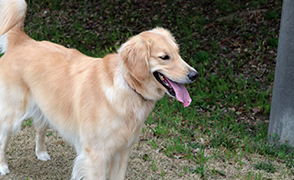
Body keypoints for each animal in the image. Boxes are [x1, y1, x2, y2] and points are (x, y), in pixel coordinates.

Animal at [0, 0, 199, 178]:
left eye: (178, 53)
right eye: (164, 57)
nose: (194, 74)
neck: (127, 88)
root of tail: (22, 40)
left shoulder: (122, 153)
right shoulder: (96, 155)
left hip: (46, 106)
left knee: (40, 127)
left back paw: (41, 153)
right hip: (13, 115)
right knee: (3, 139)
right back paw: (3, 167)